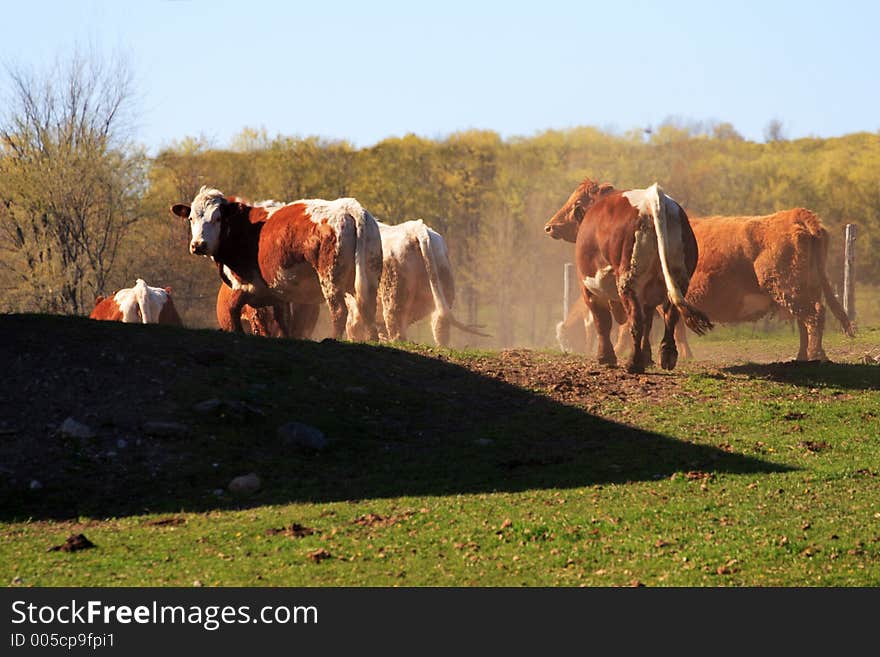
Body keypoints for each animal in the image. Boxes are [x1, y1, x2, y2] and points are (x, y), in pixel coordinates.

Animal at [168, 184, 382, 338]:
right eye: (191, 218)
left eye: (218, 218)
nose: (198, 245)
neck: (242, 227)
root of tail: (347, 207)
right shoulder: (279, 295)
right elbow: (283, 323)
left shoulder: (244, 286)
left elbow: (233, 315)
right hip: (369, 280)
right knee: (368, 311)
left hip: (330, 280)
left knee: (339, 312)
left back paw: (333, 338)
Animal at [548, 178, 712, 374]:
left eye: (576, 201)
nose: (550, 226)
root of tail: (652, 198)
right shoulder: (648, 297)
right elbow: (648, 324)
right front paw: (647, 357)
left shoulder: (589, 289)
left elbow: (602, 322)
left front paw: (605, 357)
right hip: (678, 279)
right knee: (669, 316)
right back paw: (667, 355)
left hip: (628, 282)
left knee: (636, 320)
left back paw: (634, 362)